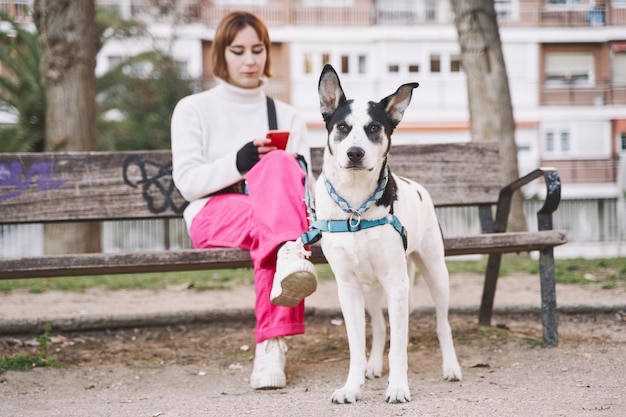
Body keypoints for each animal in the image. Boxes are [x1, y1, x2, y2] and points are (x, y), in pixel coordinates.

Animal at [310, 65, 460, 404]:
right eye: (342, 126)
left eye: (374, 128)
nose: (355, 153)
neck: (355, 208)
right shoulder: (348, 287)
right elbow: (356, 345)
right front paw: (352, 386)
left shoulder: (397, 283)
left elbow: (400, 347)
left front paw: (398, 387)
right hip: (371, 288)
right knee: (379, 326)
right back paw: (374, 366)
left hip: (436, 271)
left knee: (442, 324)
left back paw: (451, 367)